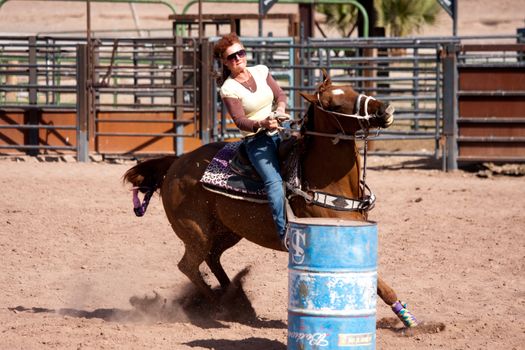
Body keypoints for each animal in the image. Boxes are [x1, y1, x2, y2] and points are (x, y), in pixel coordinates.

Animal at [123, 71, 418, 328]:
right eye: (334, 104)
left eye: (352, 89)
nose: (385, 109)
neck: (326, 181)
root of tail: (176, 163)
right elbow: (379, 284)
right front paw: (411, 323)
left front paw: (409, 319)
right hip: (196, 232)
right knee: (189, 265)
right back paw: (220, 305)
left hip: (227, 231)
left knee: (212, 258)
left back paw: (236, 299)